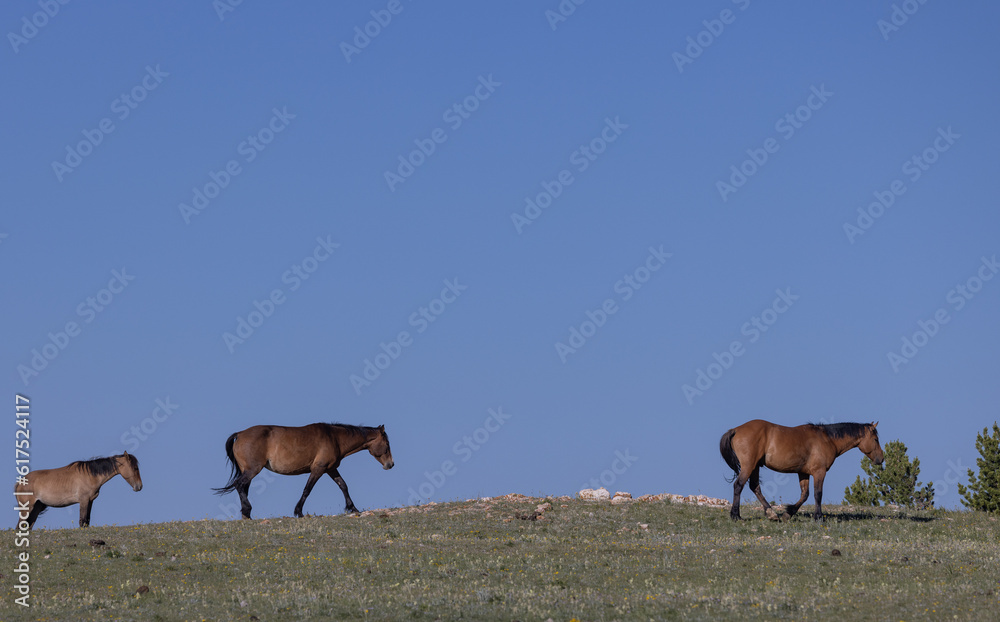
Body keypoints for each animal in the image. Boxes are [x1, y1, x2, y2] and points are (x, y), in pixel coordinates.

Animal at [14, 452, 143, 529]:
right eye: (135, 468)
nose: (139, 486)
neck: (90, 475)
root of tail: (20, 482)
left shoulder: (90, 501)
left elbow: (87, 521)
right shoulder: (83, 500)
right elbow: (82, 520)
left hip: (36, 508)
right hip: (27, 508)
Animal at [213, 423, 393, 519]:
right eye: (387, 444)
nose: (391, 464)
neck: (334, 438)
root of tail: (240, 434)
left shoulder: (331, 469)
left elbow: (343, 485)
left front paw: (353, 508)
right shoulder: (318, 469)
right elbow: (307, 489)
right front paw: (298, 512)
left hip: (248, 471)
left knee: (243, 488)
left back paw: (246, 514)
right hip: (252, 470)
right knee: (239, 485)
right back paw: (247, 510)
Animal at [719, 420, 883, 521]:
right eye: (876, 439)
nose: (881, 459)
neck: (827, 439)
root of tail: (736, 430)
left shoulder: (803, 473)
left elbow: (805, 495)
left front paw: (788, 514)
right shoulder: (819, 472)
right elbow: (818, 494)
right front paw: (818, 517)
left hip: (755, 467)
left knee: (755, 487)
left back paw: (771, 514)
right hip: (749, 465)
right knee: (738, 485)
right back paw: (736, 516)